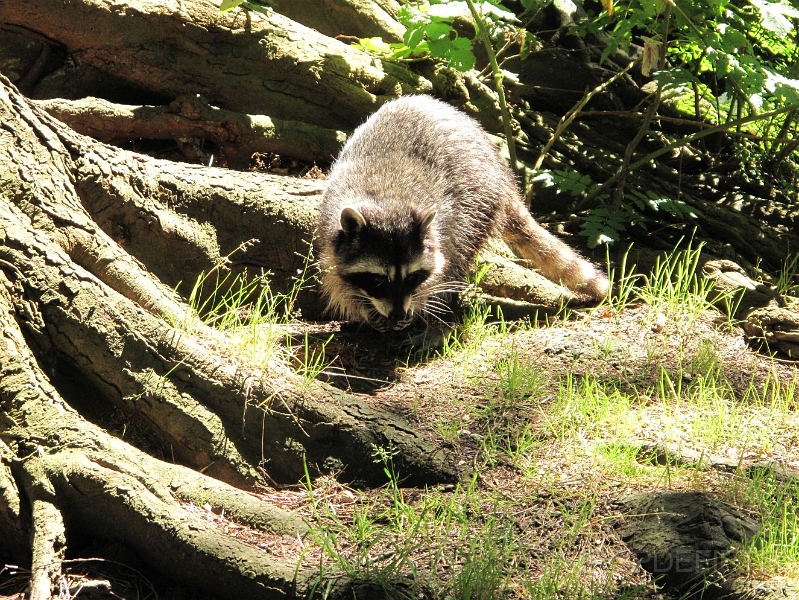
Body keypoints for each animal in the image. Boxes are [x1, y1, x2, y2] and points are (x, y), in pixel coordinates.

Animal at [316, 94, 608, 346]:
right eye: (377, 280)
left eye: (412, 277)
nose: (399, 314)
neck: (386, 200)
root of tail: (502, 173)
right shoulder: (331, 219)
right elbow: (336, 275)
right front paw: (363, 307)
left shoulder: (440, 226)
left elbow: (442, 270)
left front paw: (422, 304)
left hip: (477, 198)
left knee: (458, 253)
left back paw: (440, 320)